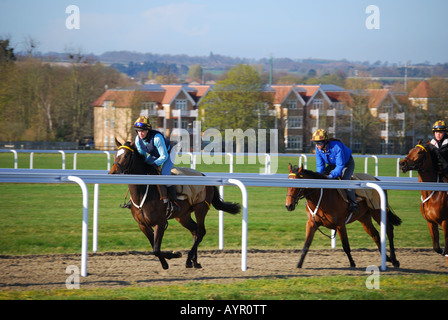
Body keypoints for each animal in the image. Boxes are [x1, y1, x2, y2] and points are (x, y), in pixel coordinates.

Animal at [110, 139, 240, 268]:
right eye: (115, 155)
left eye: (126, 156)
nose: (113, 173)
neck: (143, 192)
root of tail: (204, 176)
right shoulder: (142, 225)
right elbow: (154, 247)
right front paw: (170, 257)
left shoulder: (160, 223)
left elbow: (156, 249)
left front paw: (172, 257)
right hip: (182, 216)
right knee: (195, 231)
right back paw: (193, 261)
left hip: (200, 208)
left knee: (201, 231)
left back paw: (190, 259)